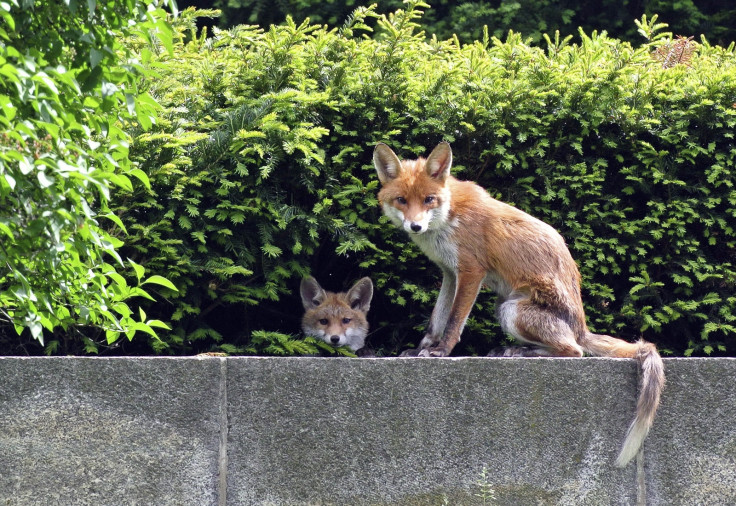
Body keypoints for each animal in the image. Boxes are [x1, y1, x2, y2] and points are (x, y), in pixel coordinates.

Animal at [374, 140, 668, 464]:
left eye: (429, 199)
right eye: (401, 200)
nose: (415, 226)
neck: (449, 216)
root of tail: (581, 328)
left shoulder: (471, 271)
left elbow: (453, 322)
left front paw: (442, 352)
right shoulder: (449, 273)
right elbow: (436, 320)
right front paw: (422, 349)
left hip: (510, 310)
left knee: (574, 351)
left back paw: (528, 353)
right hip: (505, 308)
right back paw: (512, 350)